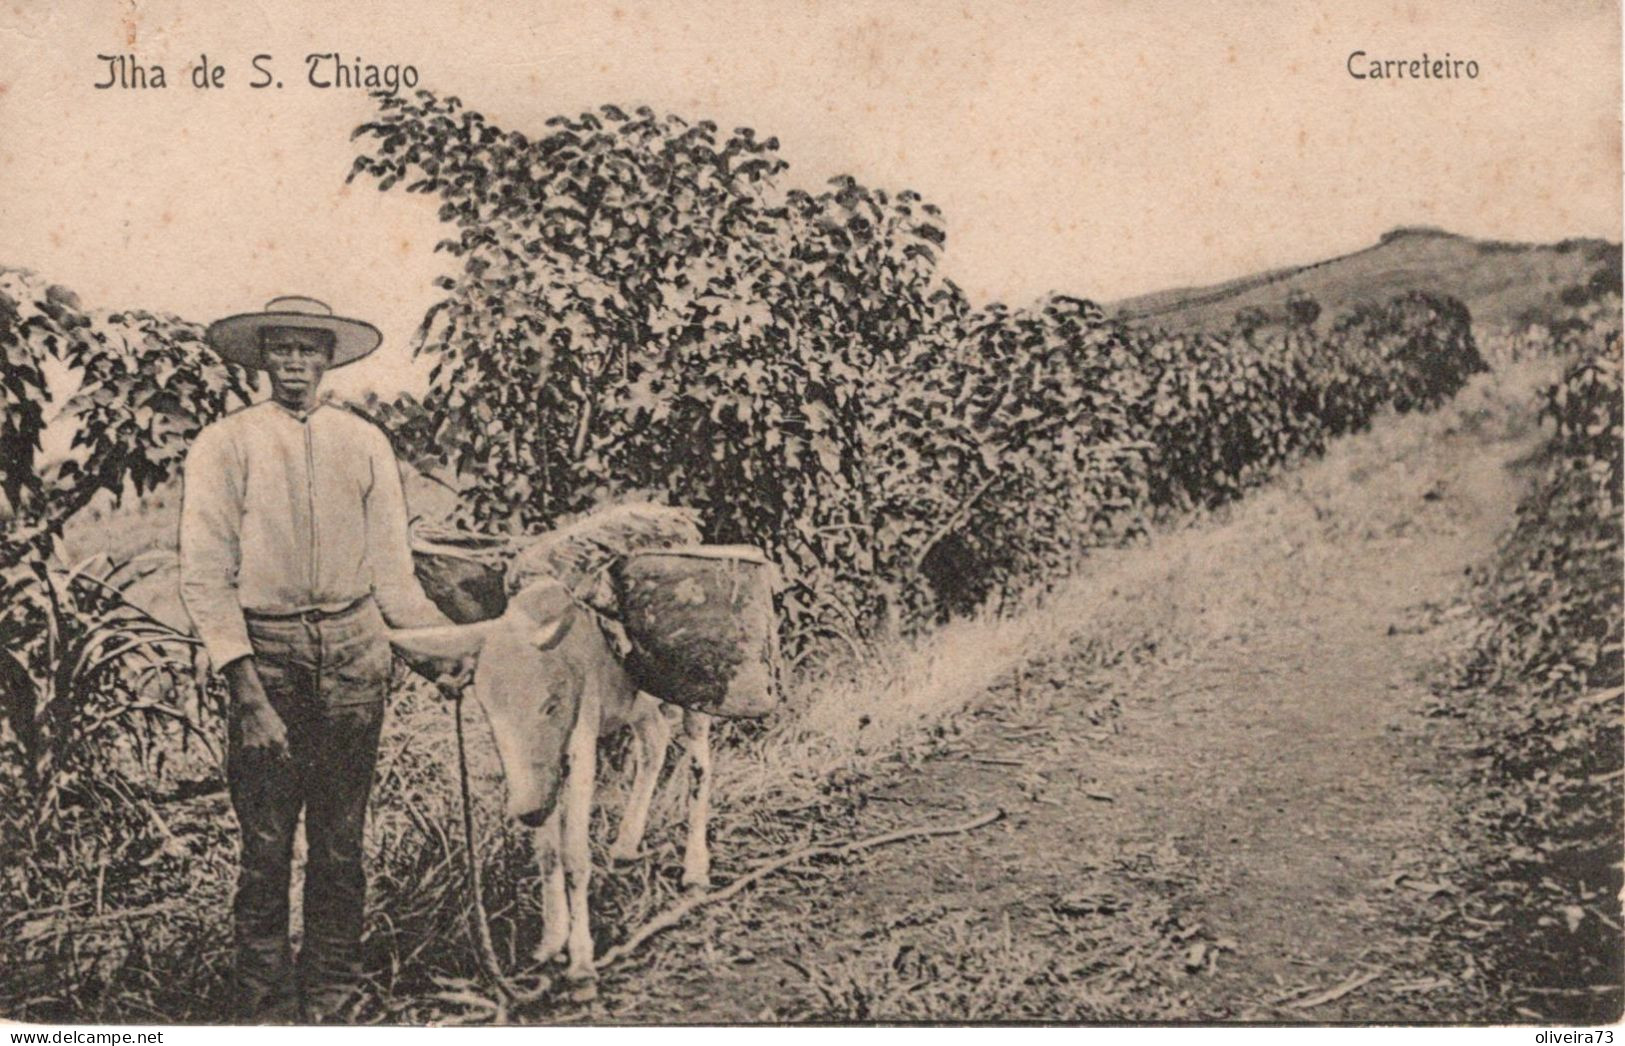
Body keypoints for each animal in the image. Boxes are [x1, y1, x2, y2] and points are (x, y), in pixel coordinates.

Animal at [386, 574, 711, 1000]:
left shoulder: (580, 744)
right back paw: (625, 846)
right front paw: (551, 941)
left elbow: (574, 855)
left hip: (696, 692)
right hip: (637, 704)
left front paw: (582, 963)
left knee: (699, 763)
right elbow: (547, 853)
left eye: (551, 704)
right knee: (654, 740)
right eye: (489, 709)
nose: (527, 810)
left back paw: (696, 869)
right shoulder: (541, 777)